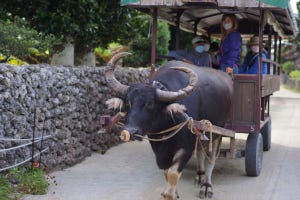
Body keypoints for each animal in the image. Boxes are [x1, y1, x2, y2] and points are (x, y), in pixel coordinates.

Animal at [104, 52, 233, 199]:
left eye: (150, 104)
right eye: (128, 103)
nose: (130, 132)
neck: (166, 124)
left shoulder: (186, 147)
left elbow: (173, 174)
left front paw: (169, 194)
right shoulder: (159, 148)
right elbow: (166, 172)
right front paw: (173, 192)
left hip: (218, 131)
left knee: (210, 159)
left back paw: (206, 186)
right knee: (200, 151)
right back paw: (199, 176)